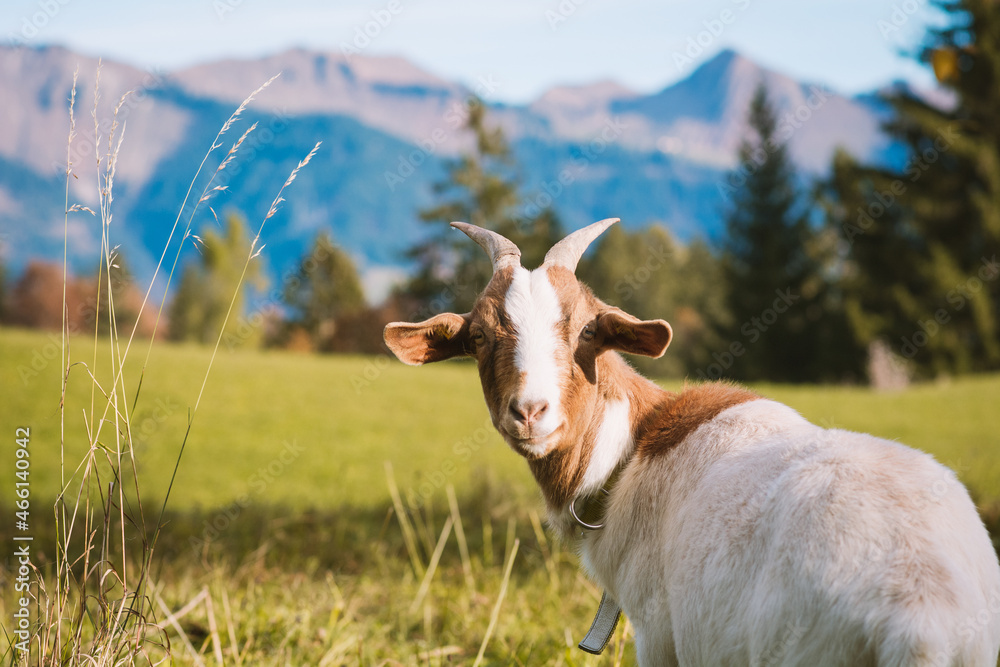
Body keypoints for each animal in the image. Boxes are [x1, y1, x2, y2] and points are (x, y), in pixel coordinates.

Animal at [383, 219, 1000, 666]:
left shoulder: (660, 635)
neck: (631, 452)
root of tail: (922, 615)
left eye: (587, 330)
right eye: (479, 336)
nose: (531, 411)